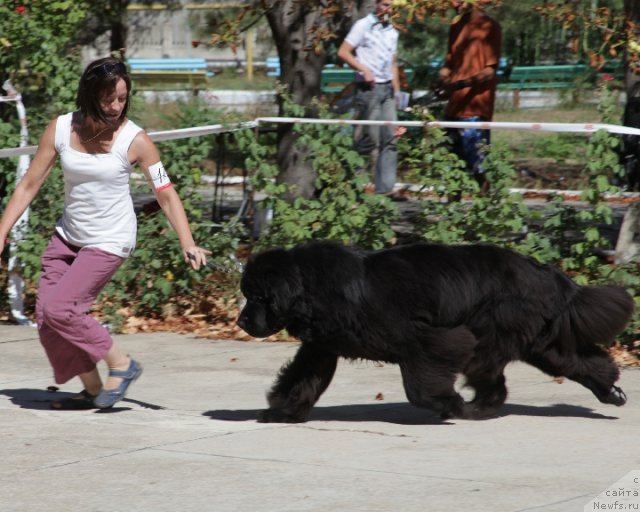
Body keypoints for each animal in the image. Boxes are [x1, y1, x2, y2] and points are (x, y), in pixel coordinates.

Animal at [236, 242, 636, 422]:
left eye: (257, 297)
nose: (241, 322)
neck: (312, 290)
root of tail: (543, 271)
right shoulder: (321, 347)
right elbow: (301, 377)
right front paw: (282, 411)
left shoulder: (427, 339)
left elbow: (418, 385)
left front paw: (446, 403)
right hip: (540, 340)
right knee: (577, 360)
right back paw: (611, 392)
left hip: (494, 335)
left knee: (493, 379)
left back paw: (472, 408)